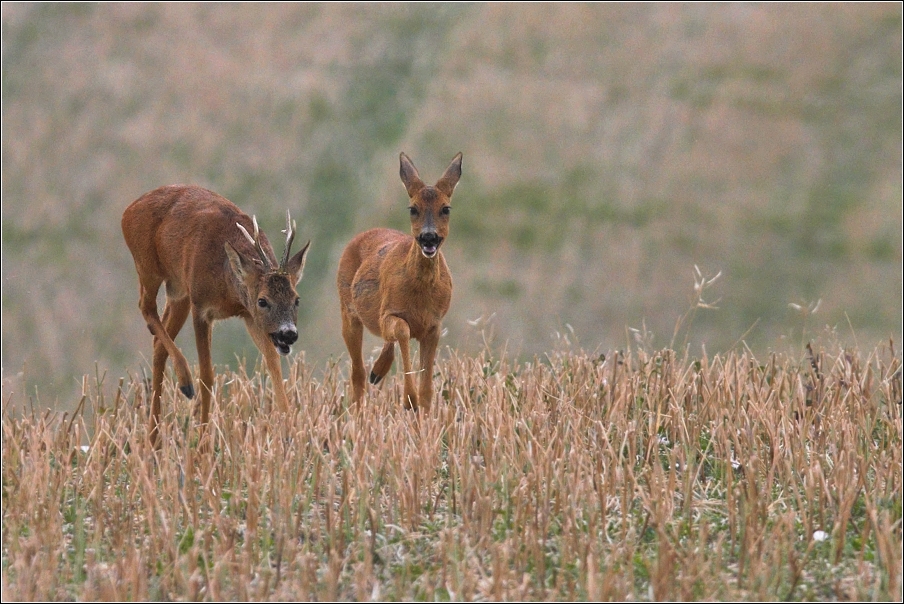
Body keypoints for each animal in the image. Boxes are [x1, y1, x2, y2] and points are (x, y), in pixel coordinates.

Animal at [122, 185, 310, 448]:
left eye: (297, 299)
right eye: (262, 301)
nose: (288, 334)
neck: (227, 285)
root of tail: (128, 211)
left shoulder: (248, 316)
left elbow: (274, 366)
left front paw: (289, 435)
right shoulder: (202, 307)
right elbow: (207, 377)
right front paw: (202, 444)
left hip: (178, 290)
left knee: (158, 341)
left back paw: (154, 438)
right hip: (148, 266)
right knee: (145, 307)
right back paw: (184, 383)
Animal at [340, 151, 466, 410]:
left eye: (446, 209)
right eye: (413, 208)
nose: (428, 237)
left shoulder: (434, 324)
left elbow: (427, 387)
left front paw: (423, 409)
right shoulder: (389, 312)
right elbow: (402, 330)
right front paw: (409, 399)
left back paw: (378, 371)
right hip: (348, 310)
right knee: (357, 373)